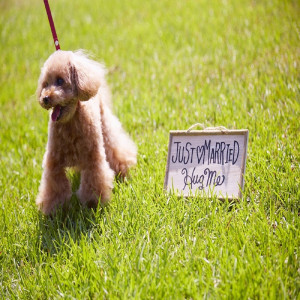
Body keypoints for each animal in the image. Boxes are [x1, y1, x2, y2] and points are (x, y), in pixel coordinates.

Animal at [35, 49, 137, 213]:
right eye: (45, 84)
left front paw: (92, 203)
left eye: (60, 81)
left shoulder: (92, 158)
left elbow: (94, 180)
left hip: (105, 126)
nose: (45, 98)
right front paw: (54, 210)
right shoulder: (53, 161)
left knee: (116, 147)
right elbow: (54, 185)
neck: (70, 123)